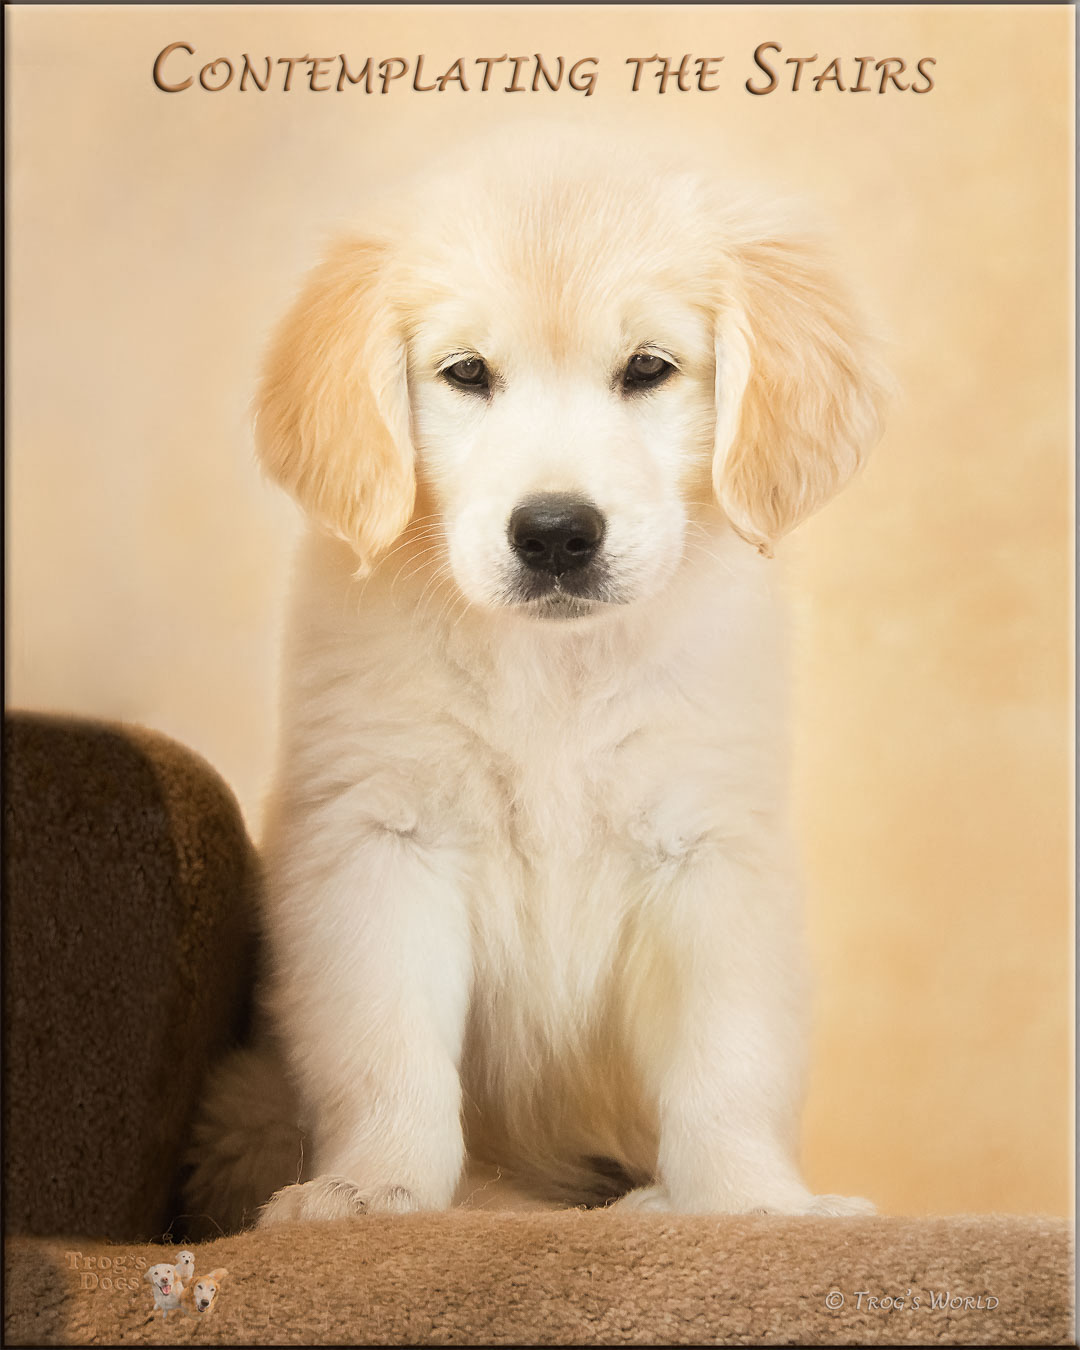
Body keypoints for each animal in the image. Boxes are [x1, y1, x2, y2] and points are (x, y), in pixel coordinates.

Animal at [190, 126, 891, 1225]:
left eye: (647, 368)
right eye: (466, 372)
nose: (556, 533)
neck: (554, 669)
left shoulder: (711, 850)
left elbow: (729, 1063)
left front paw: (751, 1204)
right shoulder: (378, 839)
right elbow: (385, 1053)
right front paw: (373, 1187)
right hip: (243, 1105)